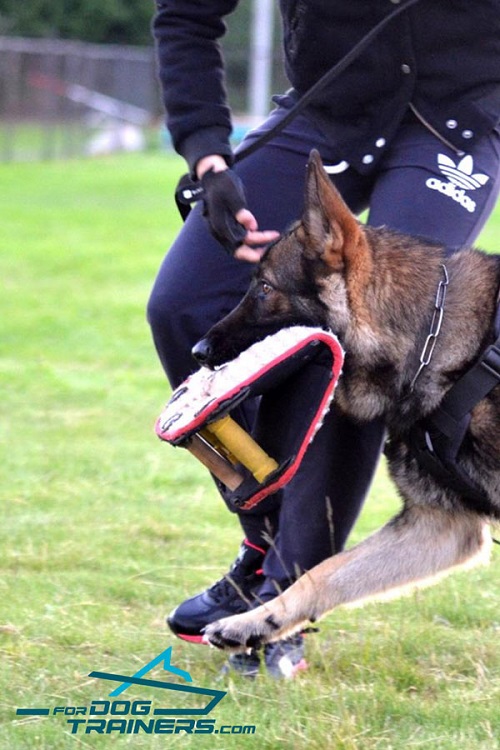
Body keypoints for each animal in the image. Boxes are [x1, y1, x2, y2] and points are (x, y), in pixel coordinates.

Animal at [197, 151, 498, 652]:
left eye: (264, 289)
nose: (198, 352)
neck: (431, 339)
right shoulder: (440, 526)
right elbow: (325, 572)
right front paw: (256, 620)